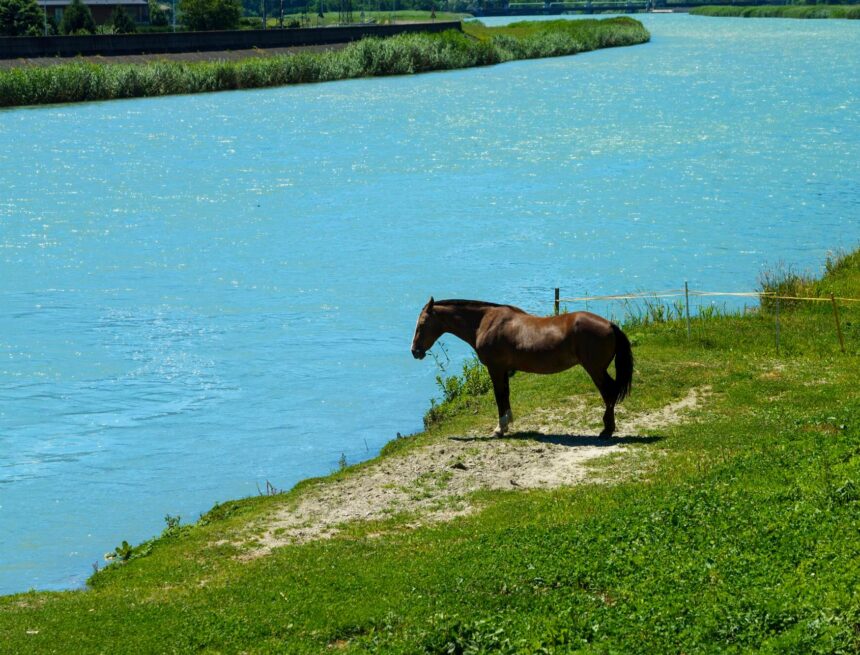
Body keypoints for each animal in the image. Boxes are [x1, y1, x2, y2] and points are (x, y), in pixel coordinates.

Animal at [411, 297, 634, 437]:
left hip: (595, 370)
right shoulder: (504, 370)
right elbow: (506, 394)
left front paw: (500, 428)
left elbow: (499, 396)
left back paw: (606, 430)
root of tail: (610, 325)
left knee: (609, 392)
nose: (415, 351)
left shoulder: (495, 369)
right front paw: (508, 423)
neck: (485, 322)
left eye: (421, 324)